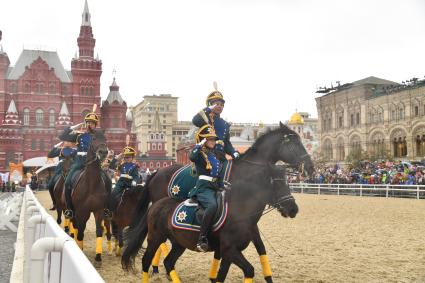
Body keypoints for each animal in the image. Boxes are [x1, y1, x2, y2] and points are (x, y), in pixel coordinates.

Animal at [67, 131, 109, 266]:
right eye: (94, 138)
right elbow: (80, 231)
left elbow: (99, 231)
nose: (103, 152)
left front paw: (98, 257)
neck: (91, 184)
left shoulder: (98, 211)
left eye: (105, 139)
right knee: (77, 226)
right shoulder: (81, 211)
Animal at [121, 123, 314, 283]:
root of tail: (156, 173)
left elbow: (260, 248)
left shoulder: (248, 230)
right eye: (294, 143)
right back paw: (155, 269)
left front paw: (268, 277)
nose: (310, 167)